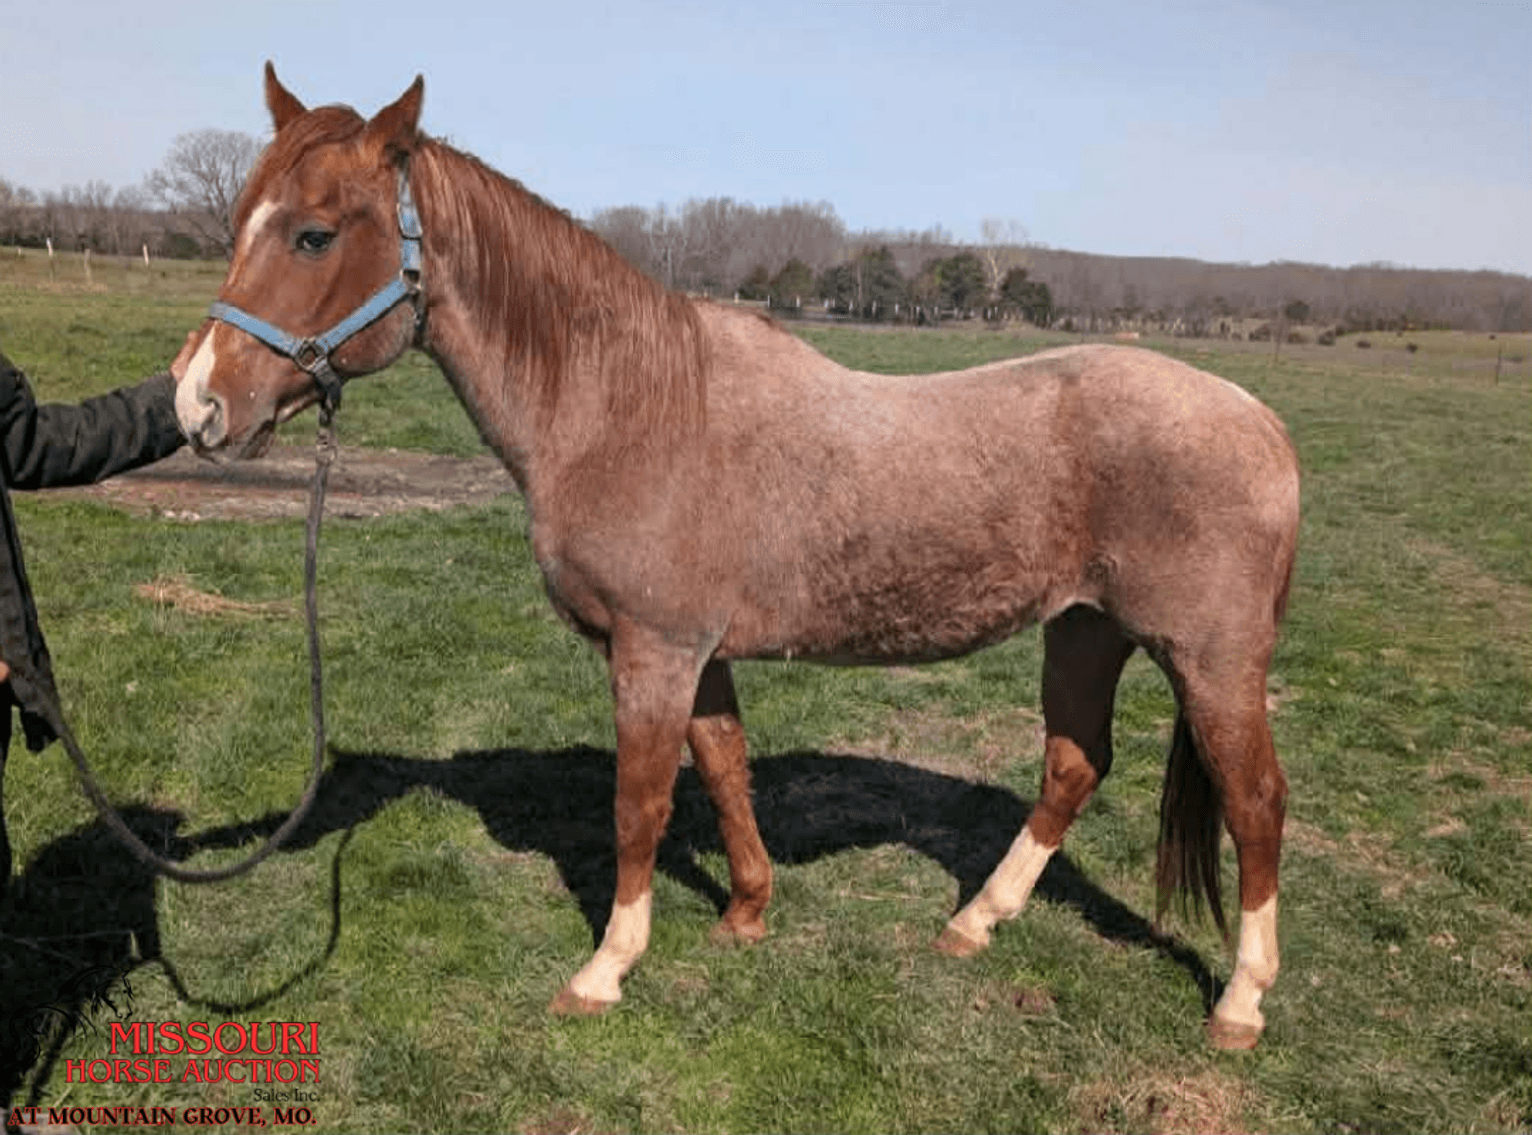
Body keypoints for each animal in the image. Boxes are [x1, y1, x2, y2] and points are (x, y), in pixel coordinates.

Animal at [175, 65, 1300, 1050]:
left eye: (315, 234)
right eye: (239, 225)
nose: (198, 406)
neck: (626, 404)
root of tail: (1263, 423)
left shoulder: (654, 649)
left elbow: (639, 805)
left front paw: (606, 967)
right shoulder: (697, 651)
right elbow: (723, 770)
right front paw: (747, 912)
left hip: (1209, 659)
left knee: (1255, 803)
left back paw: (1241, 1003)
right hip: (1083, 632)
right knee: (1073, 766)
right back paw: (974, 922)